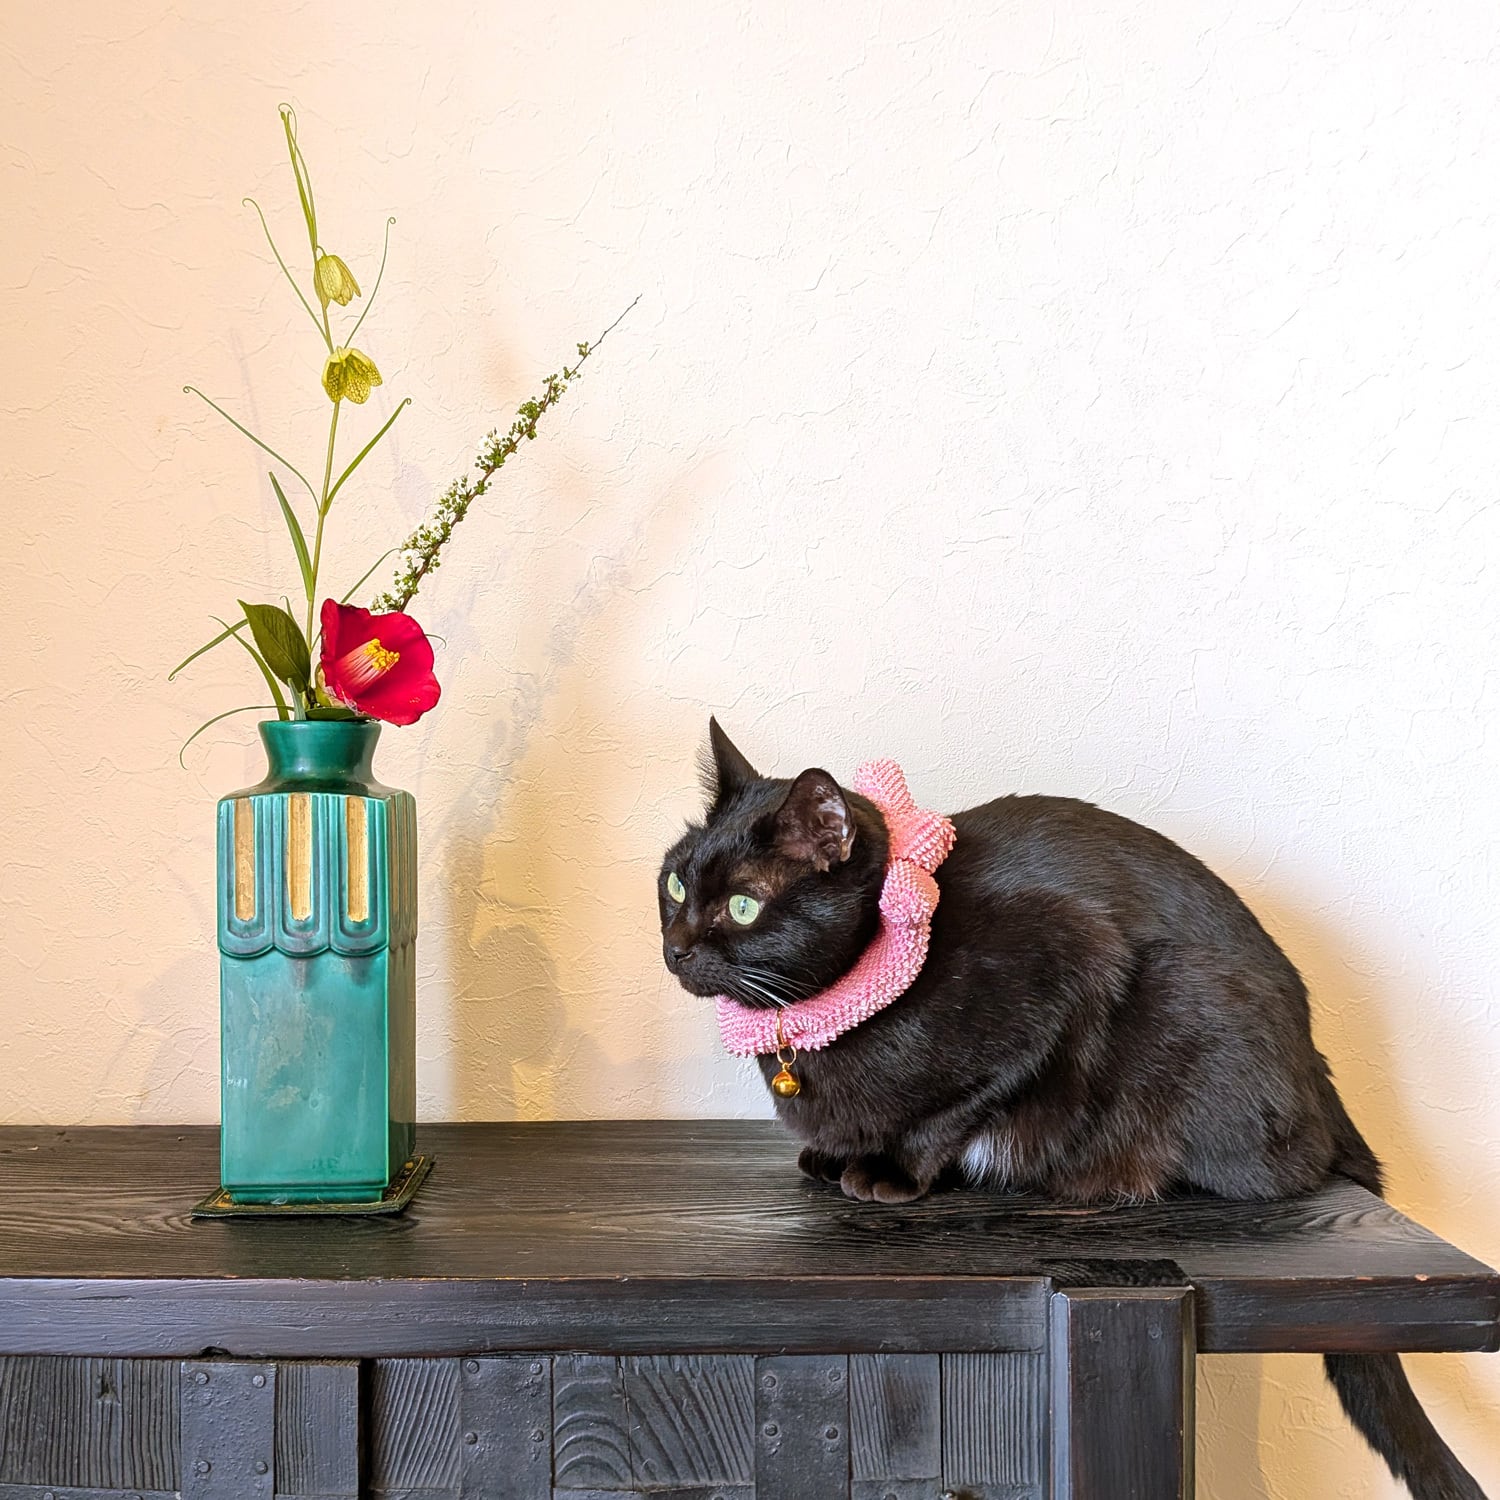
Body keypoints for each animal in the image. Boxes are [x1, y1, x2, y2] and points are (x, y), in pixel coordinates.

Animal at [658, 718, 1488, 1500]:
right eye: (675, 886)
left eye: (743, 905)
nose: (675, 948)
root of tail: (1317, 1068)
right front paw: (832, 1155)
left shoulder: (1068, 965)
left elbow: (959, 1107)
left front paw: (890, 1169)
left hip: (1178, 1001)